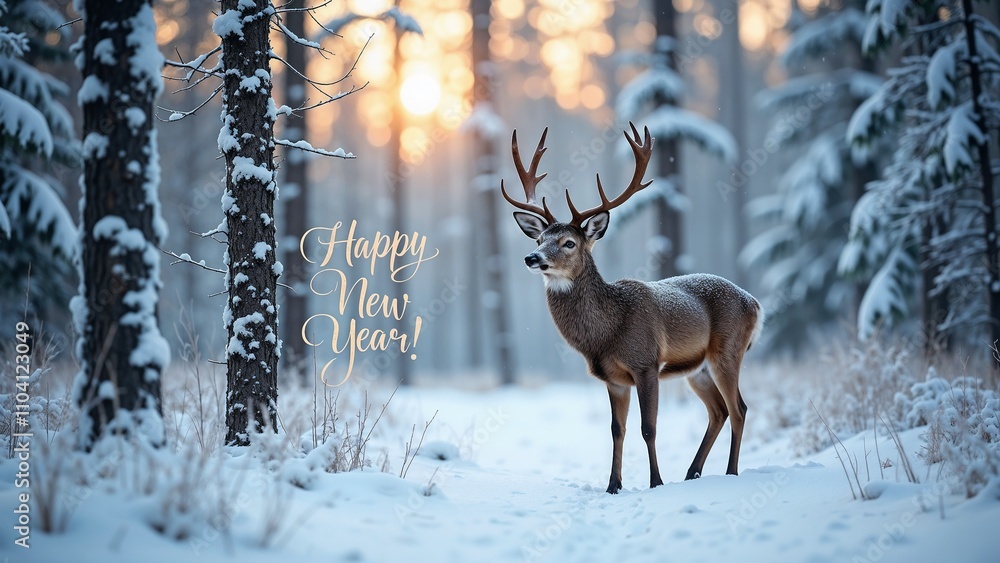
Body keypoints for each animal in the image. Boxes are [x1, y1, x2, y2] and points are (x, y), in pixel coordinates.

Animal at [501, 123, 764, 494]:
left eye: (568, 242)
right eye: (539, 240)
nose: (531, 258)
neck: (605, 335)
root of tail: (755, 303)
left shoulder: (646, 363)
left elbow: (648, 427)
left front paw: (655, 482)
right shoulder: (613, 379)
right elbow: (617, 430)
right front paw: (613, 485)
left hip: (728, 350)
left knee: (738, 408)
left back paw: (730, 472)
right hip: (697, 369)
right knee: (718, 411)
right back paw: (692, 472)